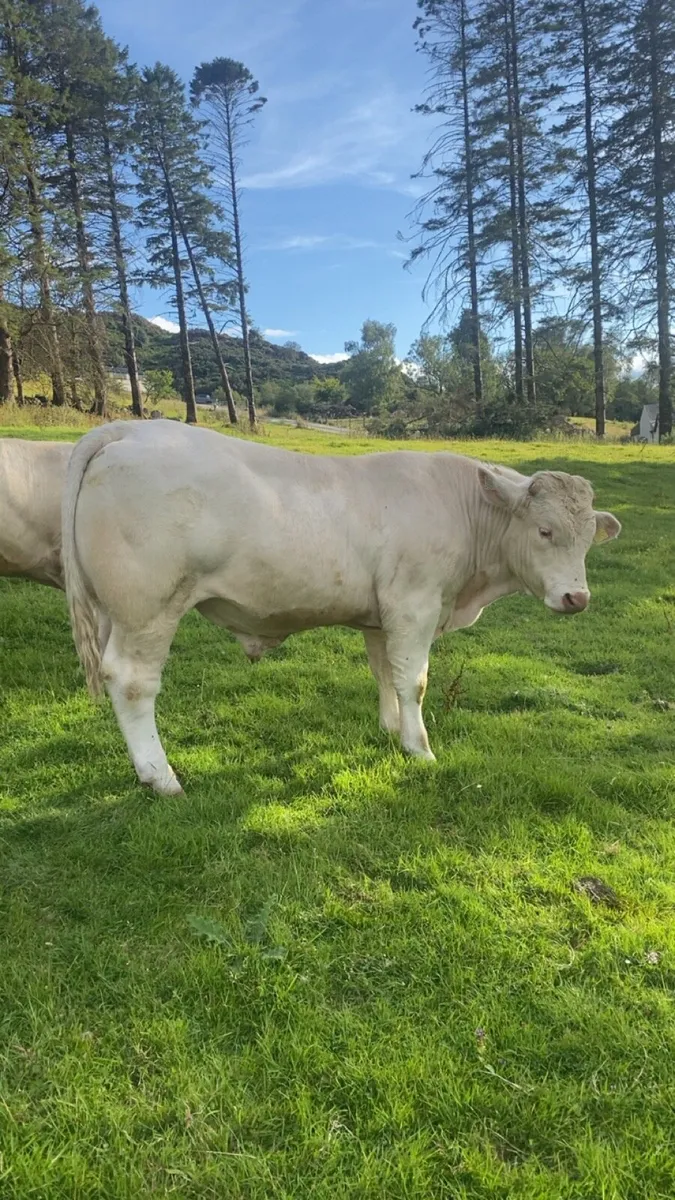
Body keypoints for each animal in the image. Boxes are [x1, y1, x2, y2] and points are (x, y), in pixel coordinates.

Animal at [61, 420, 621, 795]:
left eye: (589, 538)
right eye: (544, 531)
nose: (577, 598)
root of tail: (130, 429)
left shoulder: (381, 616)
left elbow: (385, 672)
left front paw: (393, 731)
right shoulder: (415, 605)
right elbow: (414, 681)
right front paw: (420, 749)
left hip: (113, 609)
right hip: (149, 607)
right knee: (132, 682)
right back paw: (160, 776)